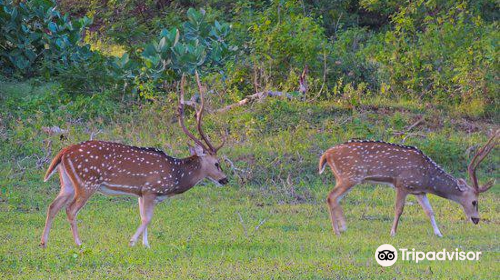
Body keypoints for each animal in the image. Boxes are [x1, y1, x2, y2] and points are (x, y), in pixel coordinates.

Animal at [41, 73, 229, 248]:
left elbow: (144, 217)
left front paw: (145, 245)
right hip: (87, 182)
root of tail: (63, 152)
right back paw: (79, 243)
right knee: (70, 209)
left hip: (68, 183)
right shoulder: (150, 188)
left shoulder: (141, 193)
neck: (176, 175)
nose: (225, 179)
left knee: (53, 206)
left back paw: (43, 242)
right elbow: (147, 219)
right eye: (217, 163)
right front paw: (132, 241)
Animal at [318, 132, 498, 237]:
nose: (476, 219)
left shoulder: (419, 191)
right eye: (474, 202)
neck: (427, 178)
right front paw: (392, 232)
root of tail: (326, 155)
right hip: (350, 176)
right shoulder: (402, 184)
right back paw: (340, 229)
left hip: (342, 177)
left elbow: (430, 211)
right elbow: (399, 209)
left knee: (333, 198)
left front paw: (438, 233)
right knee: (331, 197)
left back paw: (340, 228)